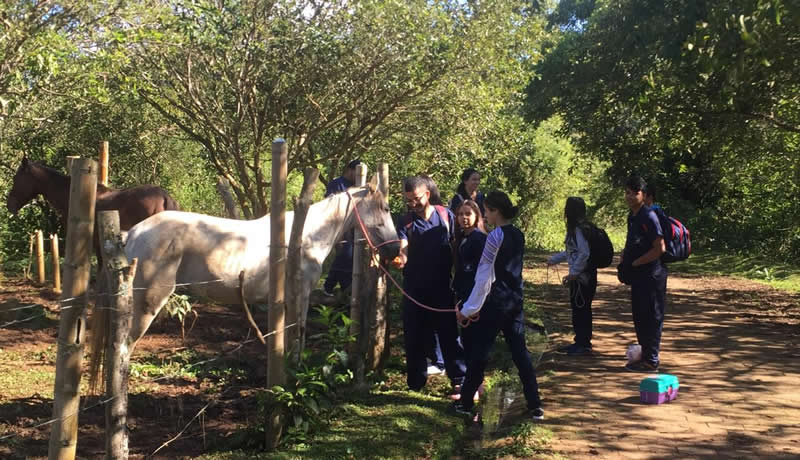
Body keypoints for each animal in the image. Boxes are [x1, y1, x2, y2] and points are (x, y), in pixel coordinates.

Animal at [89, 182, 398, 380]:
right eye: (384, 208)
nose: (396, 249)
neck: (307, 236)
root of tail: (132, 234)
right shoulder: (301, 296)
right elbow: (298, 335)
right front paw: (296, 371)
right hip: (146, 303)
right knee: (122, 348)